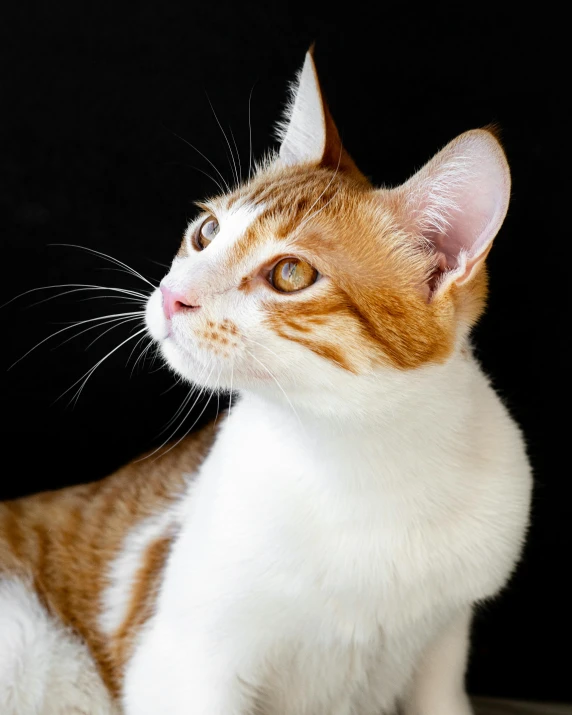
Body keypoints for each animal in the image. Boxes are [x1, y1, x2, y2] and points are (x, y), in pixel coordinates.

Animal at [0, 50, 532, 715]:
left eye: (290, 274)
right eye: (205, 233)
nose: (172, 295)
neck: (354, 457)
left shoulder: (445, 641)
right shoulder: (182, 665)